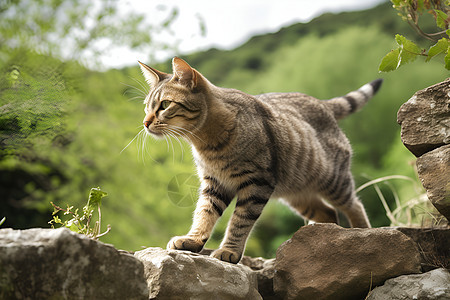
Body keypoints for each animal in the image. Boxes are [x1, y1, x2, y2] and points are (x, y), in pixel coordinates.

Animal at [138, 57, 384, 264]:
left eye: (164, 105)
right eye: (147, 107)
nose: (145, 122)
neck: (206, 142)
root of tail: (321, 103)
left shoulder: (257, 183)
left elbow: (239, 221)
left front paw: (229, 250)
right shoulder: (214, 183)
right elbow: (204, 213)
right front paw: (193, 239)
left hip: (333, 181)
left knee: (354, 204)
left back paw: (362, 233)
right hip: (299, 195)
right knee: (330, 213)